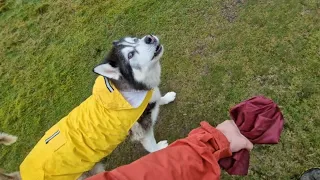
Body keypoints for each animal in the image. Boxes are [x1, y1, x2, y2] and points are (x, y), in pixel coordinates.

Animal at [0, 34, 175, 179]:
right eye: (130, 55)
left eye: (135, 39)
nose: (149, 38)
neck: (130, 89)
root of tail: (20, 173)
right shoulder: (142, 131)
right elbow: (151, 146)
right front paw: (160, 149)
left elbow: (159, 98)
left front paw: (166, 98)